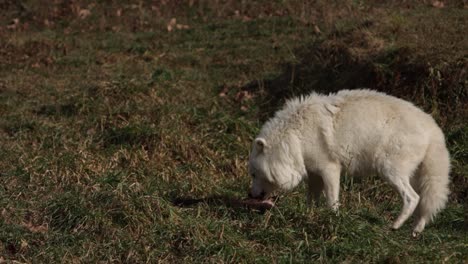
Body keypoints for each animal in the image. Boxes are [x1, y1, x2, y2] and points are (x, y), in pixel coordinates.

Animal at [249, 89, 450, 234]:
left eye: (253, 174)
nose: (251, 196)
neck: (296, 136)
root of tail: (433, 129)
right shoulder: (314, 175)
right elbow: (311, 200)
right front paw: (309, 215)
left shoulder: (330, 169)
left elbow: (332, 201)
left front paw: (333, 220)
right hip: (418, 178)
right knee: (425, 203)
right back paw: (415, 230)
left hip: (390, 171)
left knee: (413, 198)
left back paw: (395, 226)